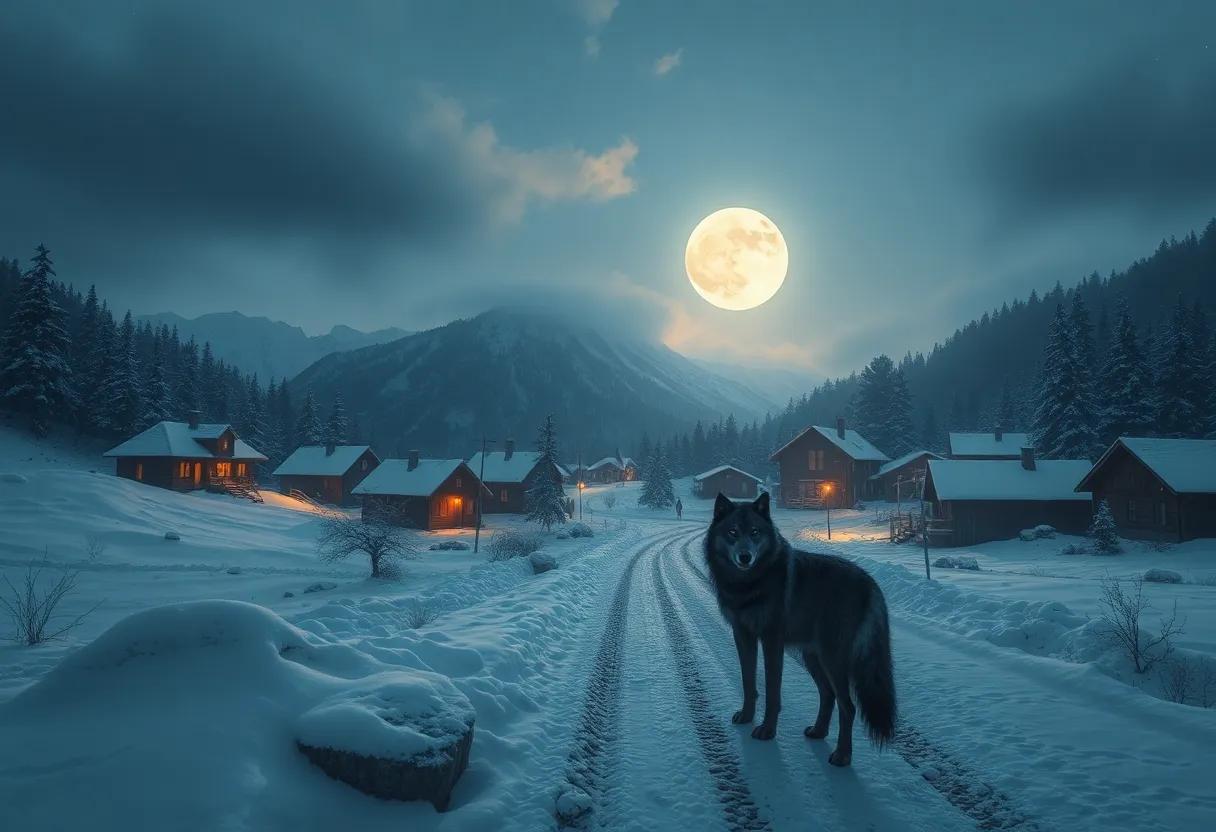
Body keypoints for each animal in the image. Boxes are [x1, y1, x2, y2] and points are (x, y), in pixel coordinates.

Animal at [704, 491, 896, 767]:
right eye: (732, 532)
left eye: (754, 532)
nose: (745, 557)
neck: (749, 583)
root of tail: (871, 584)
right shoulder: (743, 636)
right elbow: (748, 682)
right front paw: (747, 716)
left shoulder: (772, 641)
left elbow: (772, 692)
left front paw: (767, 730)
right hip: (812, 657)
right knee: (828, 695)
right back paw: (818, 732)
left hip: (832, 659)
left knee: (848, 706)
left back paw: (842, 755)